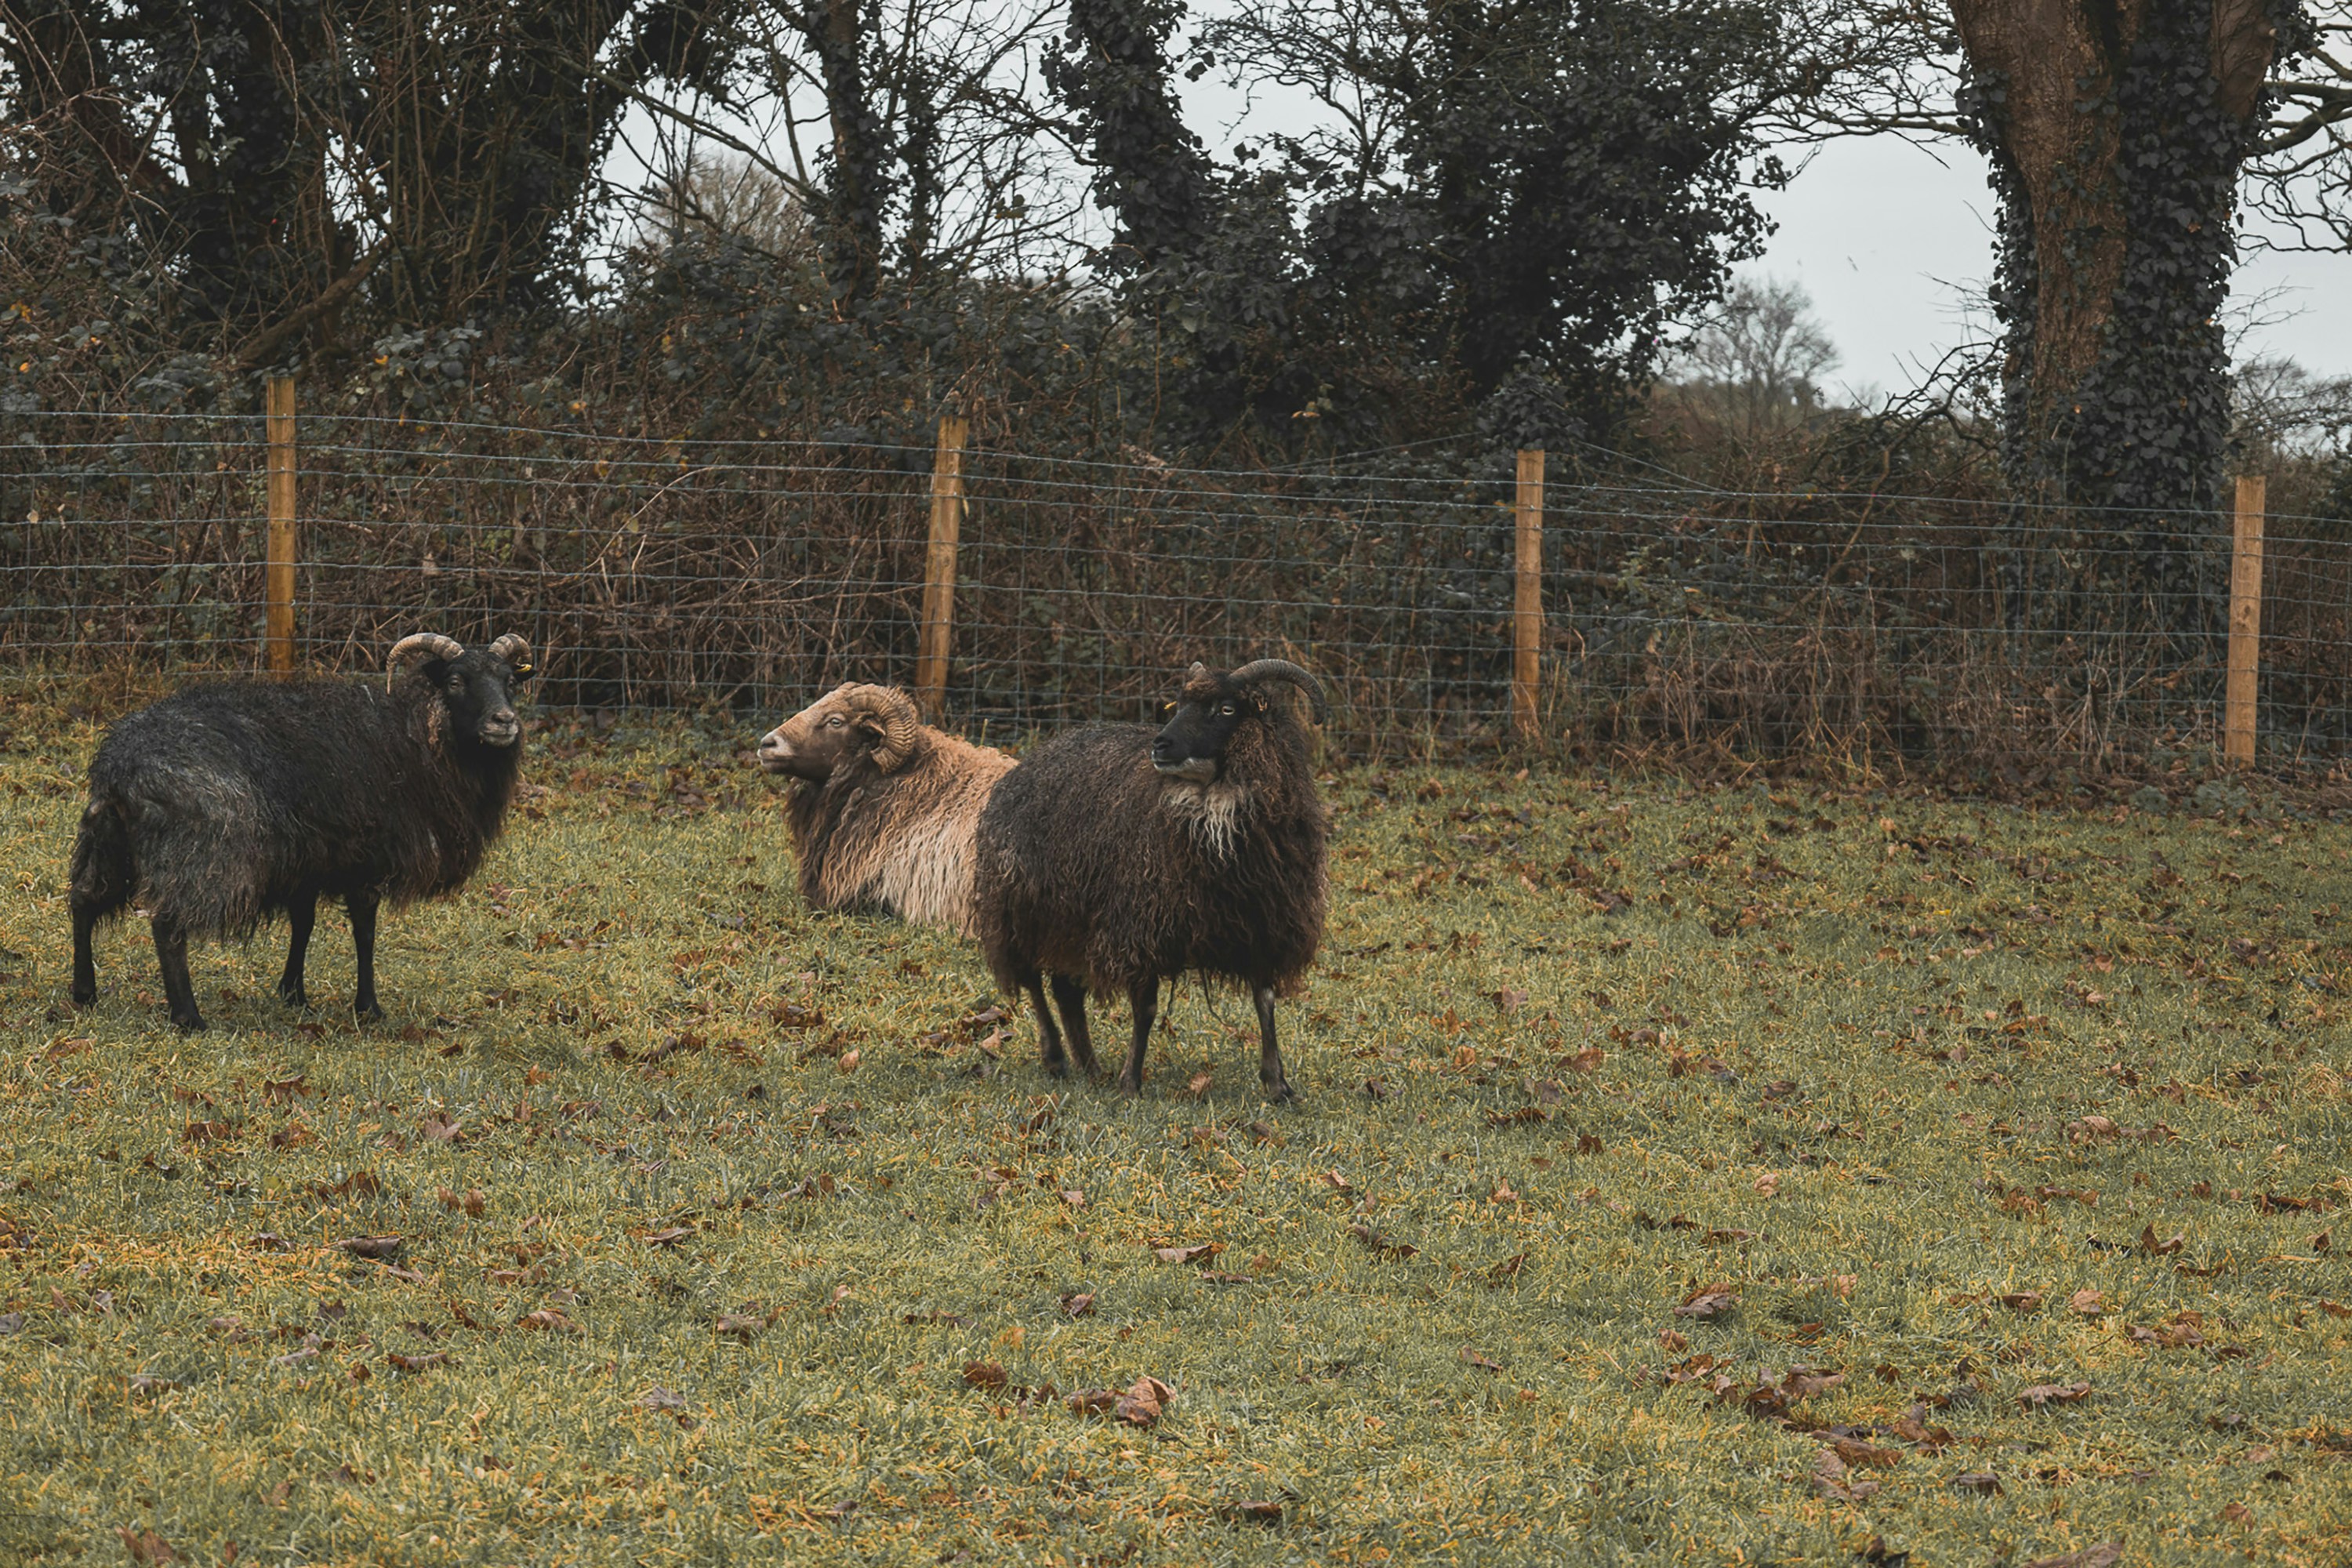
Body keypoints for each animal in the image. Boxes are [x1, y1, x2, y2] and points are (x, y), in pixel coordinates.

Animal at [68, 632, 534, 1031]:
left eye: (510, 681)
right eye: (455, 681)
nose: (504, 721)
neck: (415, 734)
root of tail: (120, 767)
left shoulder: (310, 856)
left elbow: (304, 924)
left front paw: (294, 993)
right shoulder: (368, 854)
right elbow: (365, 932)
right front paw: (368, 1006)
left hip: (109, 841)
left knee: (83, 901)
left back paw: (84, 992)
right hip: (205, 851)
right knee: (168, 926)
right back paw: (188, 1017)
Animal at [972, 659, 1330, 1099]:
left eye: (1226, 709)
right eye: (1179, 704)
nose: (1160, 746)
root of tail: (1031, 760)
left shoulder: (1265, 924)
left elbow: (1265, 1002)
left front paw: (1278, 1085)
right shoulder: (1142, 923)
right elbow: (1145, 1009)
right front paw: (1130, 1083)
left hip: (1071, 915)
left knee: (1065, 988)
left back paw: (1089, 1065)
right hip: (1023, 907)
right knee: (1034, 982)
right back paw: (1056, 1057)